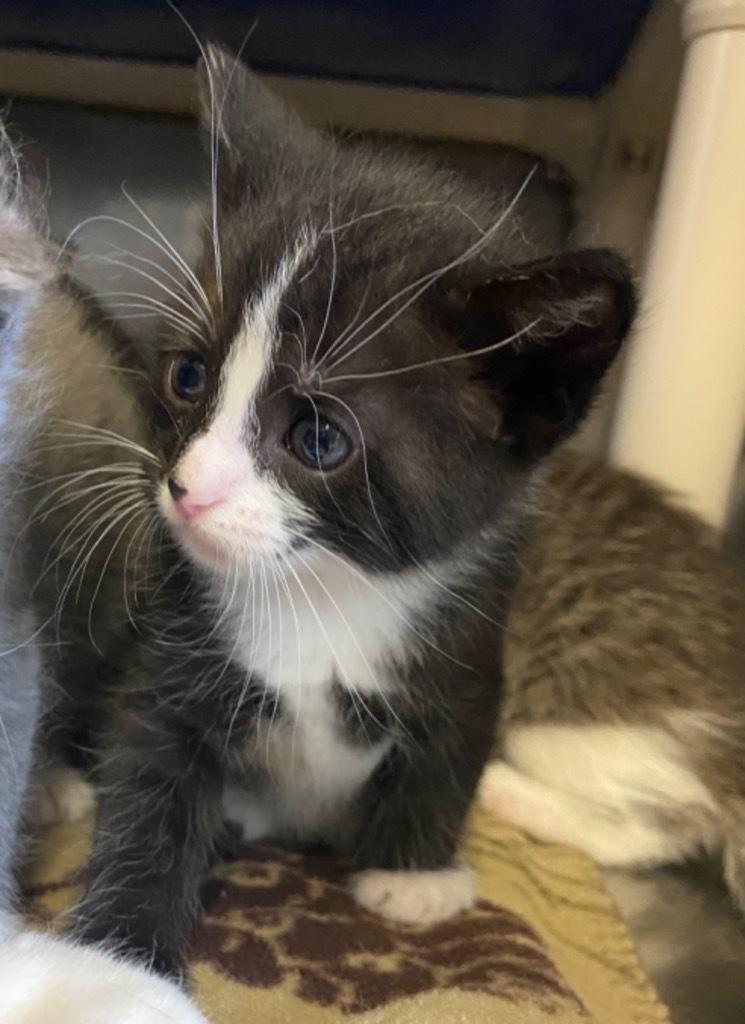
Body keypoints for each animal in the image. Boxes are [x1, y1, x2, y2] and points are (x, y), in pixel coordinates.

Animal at [56, 49, 634, 983]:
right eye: (188, 377)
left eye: (319, 437)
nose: (187, 488)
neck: (325, 591)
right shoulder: (172, 649)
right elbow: (148, 775)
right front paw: (119, 958)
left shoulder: (469, 633)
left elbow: (455, 736)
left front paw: (414, 875)